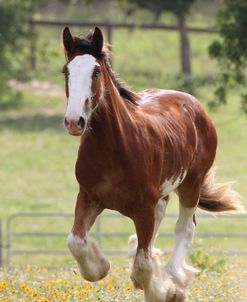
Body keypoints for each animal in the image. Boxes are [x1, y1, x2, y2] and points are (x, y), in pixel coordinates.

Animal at [61, 27, 241, 300]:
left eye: (96, 71)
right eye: (66, 71)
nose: (74, 121)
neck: (113, 150)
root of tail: (193, 104)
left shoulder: (143, 207)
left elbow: (143, 264)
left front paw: (163, 290)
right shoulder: (89, 196)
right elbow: (76, 242)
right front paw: (101, 266)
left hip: (191, 184)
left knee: (185, 228)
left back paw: (175, 278)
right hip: (163, 193)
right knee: (161, 219)